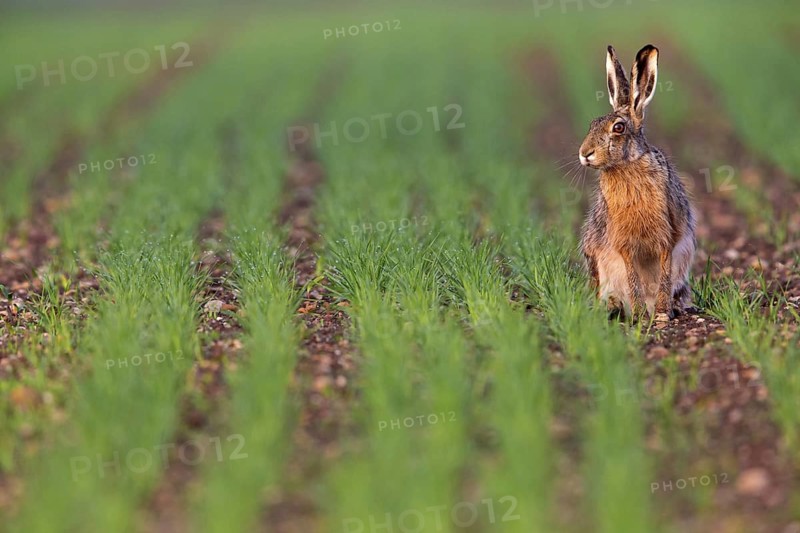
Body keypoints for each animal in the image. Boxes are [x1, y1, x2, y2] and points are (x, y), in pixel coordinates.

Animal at [579, 44, 696, 322]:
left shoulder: (668, 235)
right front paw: (642, 316)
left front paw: (662, 314)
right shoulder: (623, 242)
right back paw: (617, 309)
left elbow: (664, 271)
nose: (584, 153)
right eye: (592, 124)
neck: (626, 166)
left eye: (618, 128)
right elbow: (632, 276)